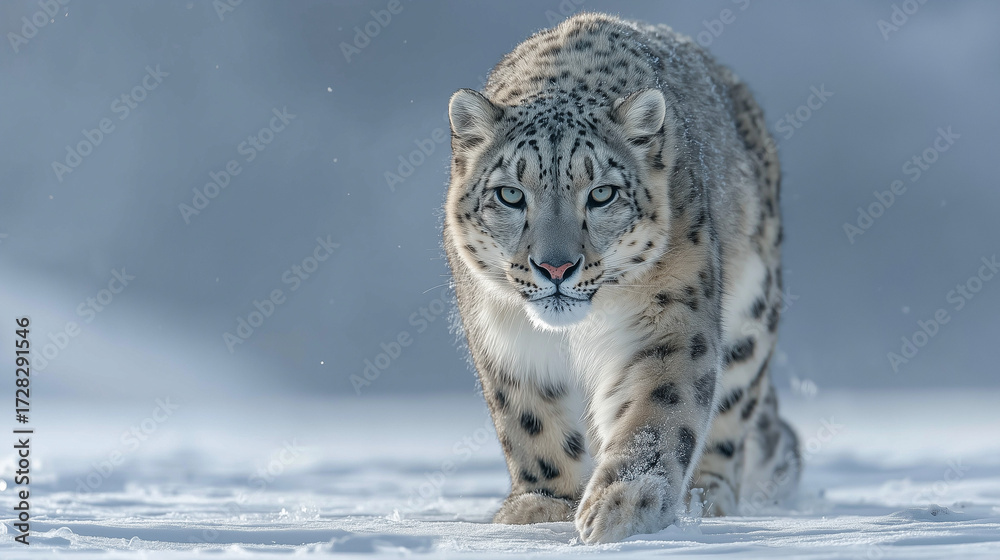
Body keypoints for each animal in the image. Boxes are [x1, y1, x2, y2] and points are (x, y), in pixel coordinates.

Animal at [442, 12, 800, 543]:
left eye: (601, 194)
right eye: (510, 194)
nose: (555, 267)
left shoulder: (670, 318)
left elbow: (658, 408)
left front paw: (622, 505)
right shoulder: (507, 339)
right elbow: (531, 421)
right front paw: (542, 507)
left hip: (752, 312)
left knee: (732, 410)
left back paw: (704, 496)